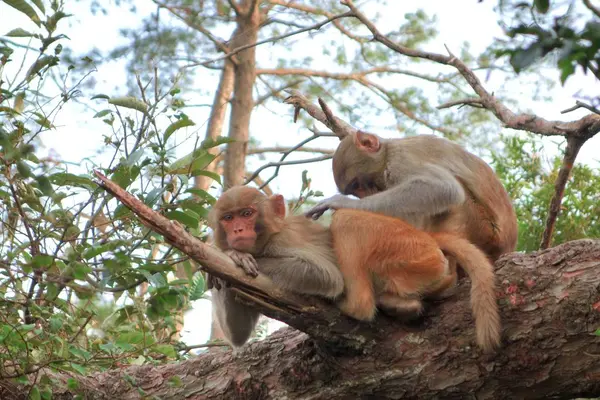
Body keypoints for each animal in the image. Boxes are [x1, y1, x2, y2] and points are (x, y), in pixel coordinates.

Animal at [209, 186, 500, 352]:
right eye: (228, 218)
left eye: (247, 214)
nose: (237, 231)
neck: (267, 237)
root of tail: (429, 237)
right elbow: (238, 335)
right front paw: (221, 266)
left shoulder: (285, 240)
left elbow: (327, 276)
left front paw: (234, 255)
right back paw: (403, 305)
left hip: (409, 249)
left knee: (347, 219)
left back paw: (353, 306)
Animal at [308, 132, 516, 262]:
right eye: (356, 190)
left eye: (359, 185)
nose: (365, 195)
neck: (388, 152)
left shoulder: (400, 163)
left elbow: (444, 188)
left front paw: (340, 203)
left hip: (479, 227)